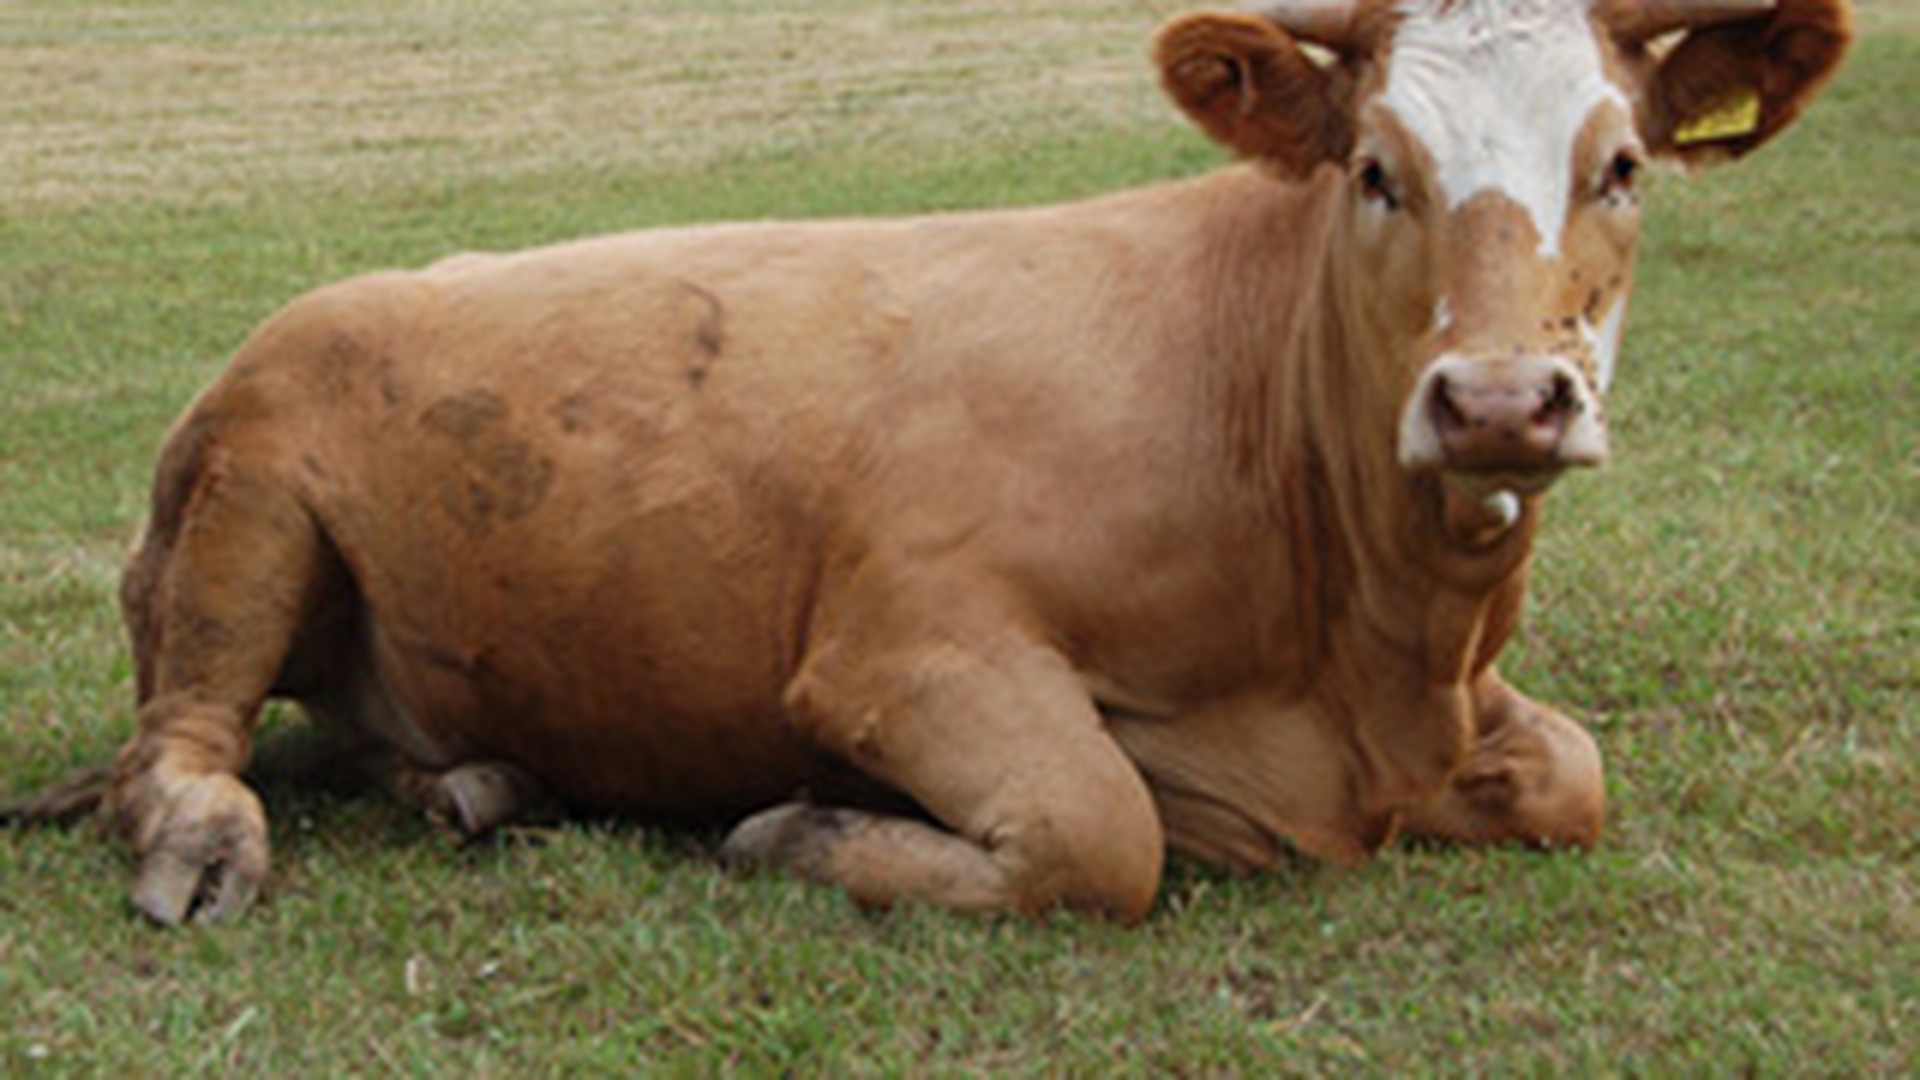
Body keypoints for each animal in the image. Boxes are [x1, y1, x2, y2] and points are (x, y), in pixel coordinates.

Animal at [10, 0, 1850, 925]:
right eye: (1377, 169)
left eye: (1623, 166)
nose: (1498, 404)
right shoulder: (903, 645)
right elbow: (1106, 835)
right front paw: (795, 831)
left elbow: (1574, 776)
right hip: (249, 500)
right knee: (185, 741)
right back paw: (206, 849)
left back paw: (478, 783)